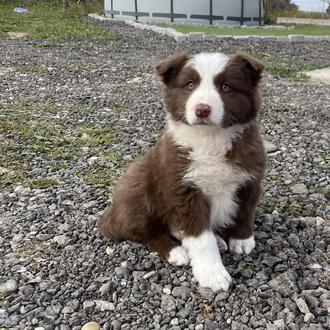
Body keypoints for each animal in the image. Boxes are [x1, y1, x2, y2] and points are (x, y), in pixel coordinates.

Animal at [97, 51, 266, 292]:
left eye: (226, 87)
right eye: (189, 85)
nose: (202, 109)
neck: (210, 139)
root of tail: (109, 217)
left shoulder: (250, 179)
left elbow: (245, 212)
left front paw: (242, 239)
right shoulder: (183, 190)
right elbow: (201, 238)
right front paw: (213, 275)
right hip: (138, 183)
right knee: (142, 231)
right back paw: (175, 251)